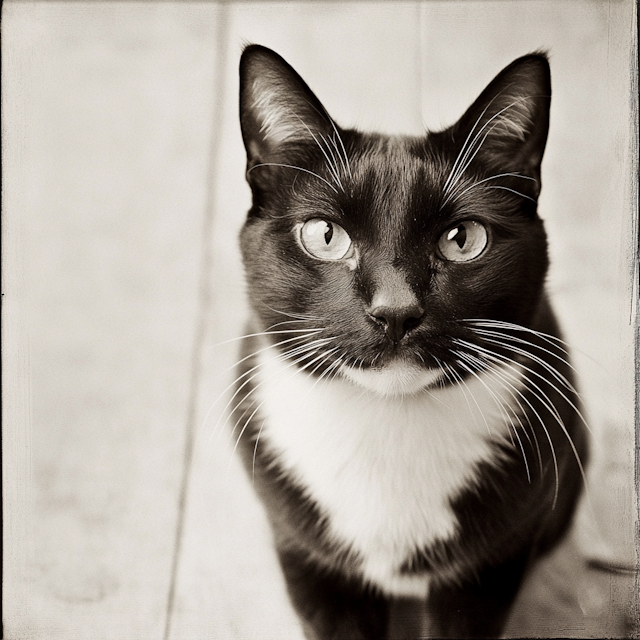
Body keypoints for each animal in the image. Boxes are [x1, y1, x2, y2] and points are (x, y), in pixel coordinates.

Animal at [231, 42, 592, 636]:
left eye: (463, 240)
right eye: (324, 236)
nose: (395, 310)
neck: (388, 422)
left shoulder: (492, 566)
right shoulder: (306, 556)